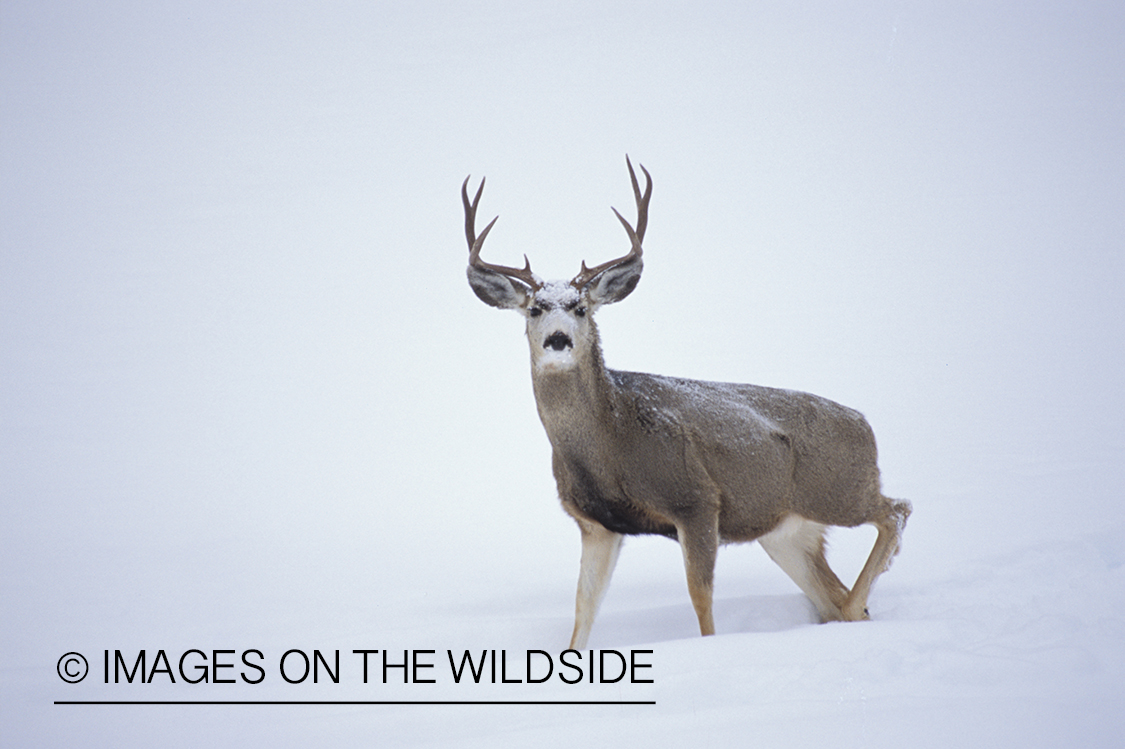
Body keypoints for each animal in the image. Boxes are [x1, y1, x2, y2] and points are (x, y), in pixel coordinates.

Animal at [461, 157, 909, 647]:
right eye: (535, 309)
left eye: (581, 307)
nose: (558, 340)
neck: (612, 441)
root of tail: (865, 424)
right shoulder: (598, 524)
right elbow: (583, 609)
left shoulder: (696, 499)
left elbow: (700, 599)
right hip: (787, 530)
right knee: (830, 595)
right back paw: (852, 612)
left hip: (840, 490)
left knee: (896, 512)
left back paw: (858, 604)